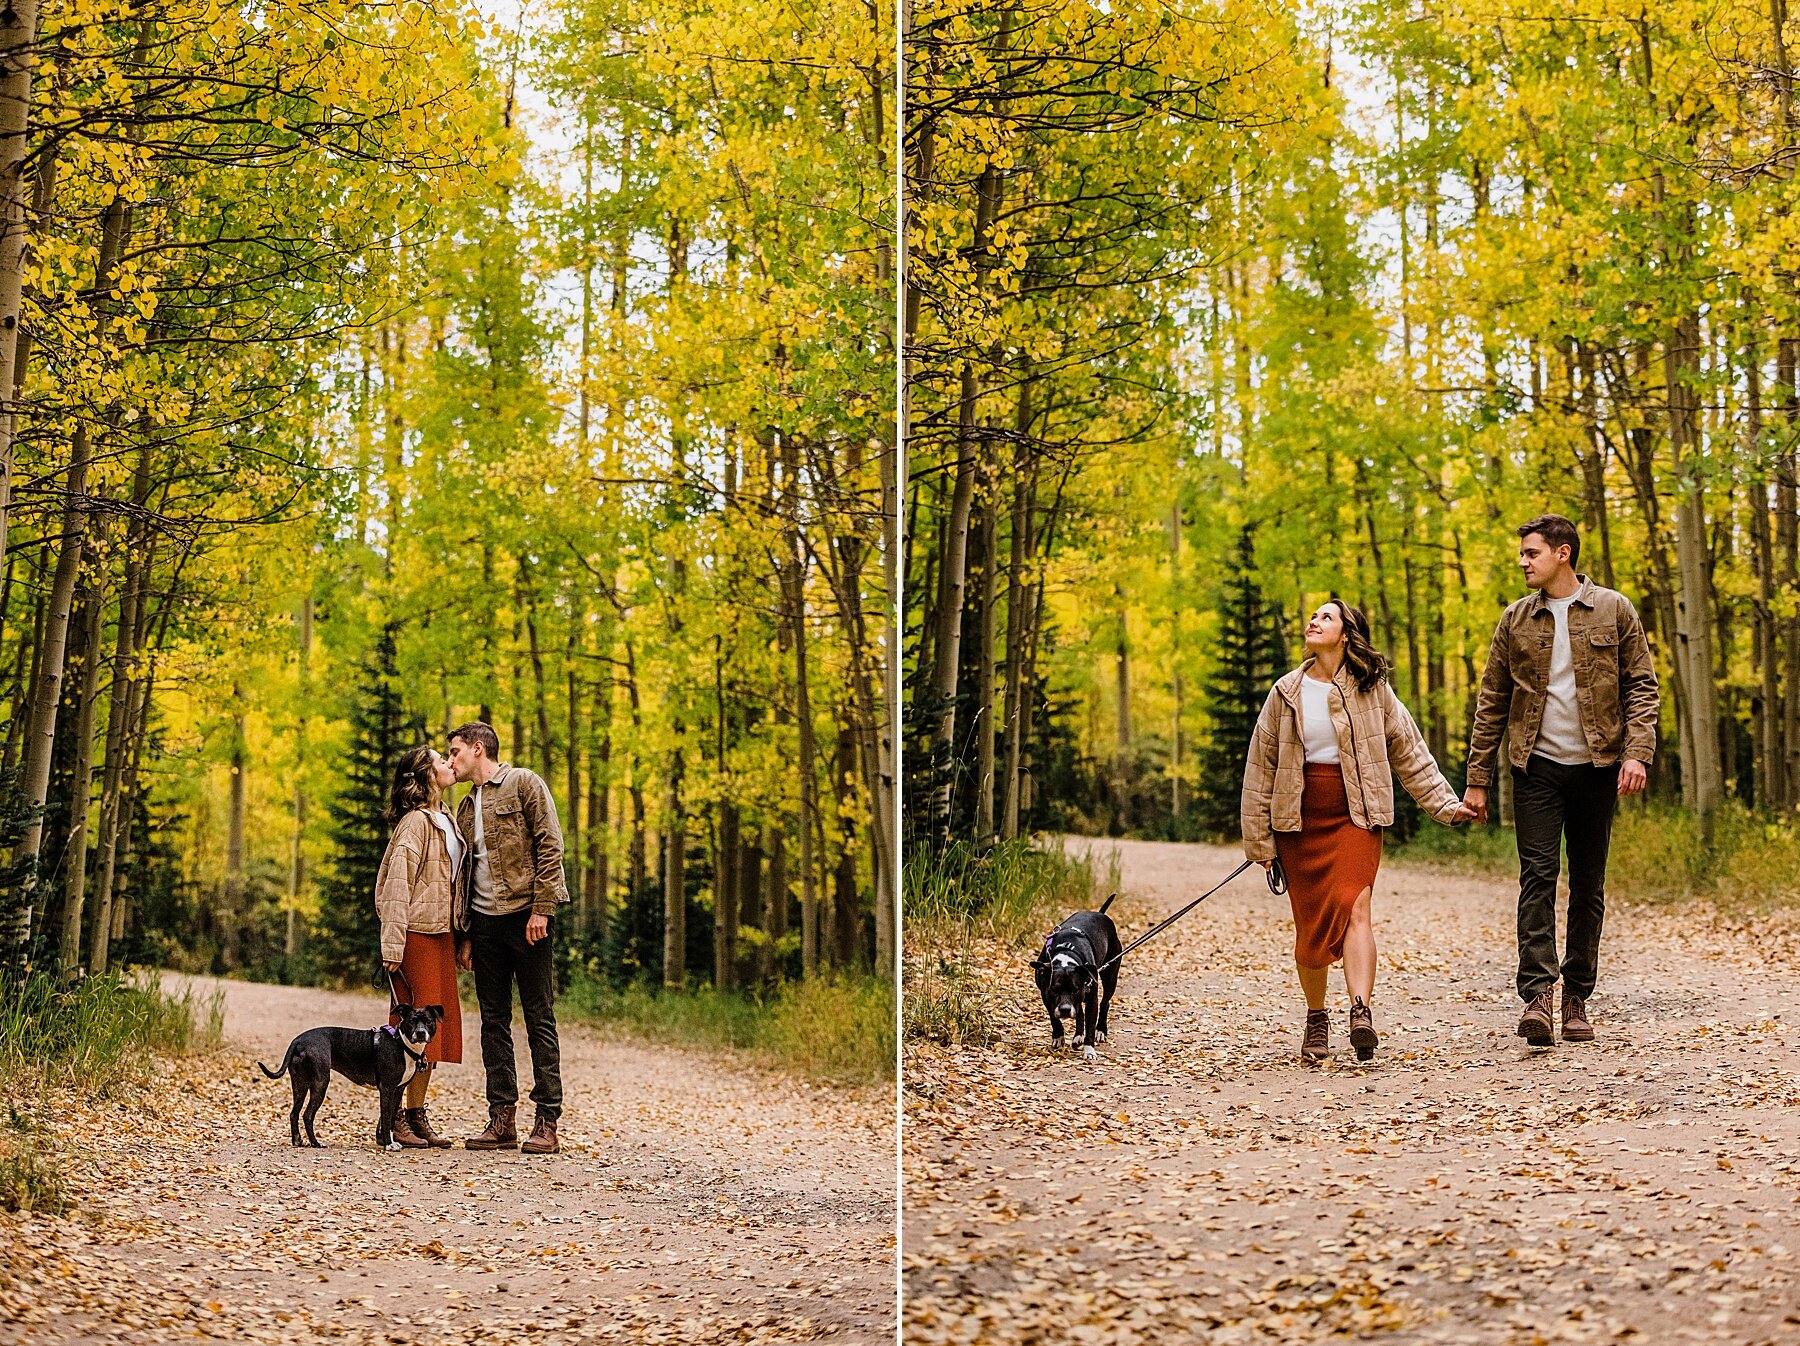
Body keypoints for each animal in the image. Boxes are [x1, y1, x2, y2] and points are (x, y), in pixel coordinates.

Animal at [257, 1000, 442, 1144]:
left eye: (428, 1021)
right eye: (411, 1021)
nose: (420, 1033)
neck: (402, 1044)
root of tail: (298, 1040)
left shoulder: (398, 1090)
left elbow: (389, 1118)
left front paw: (389, 1141)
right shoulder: (387, 1089)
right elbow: (385, 1116)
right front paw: (388, 1145)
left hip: (300, 1085)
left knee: (294, 1113)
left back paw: (297, 1141)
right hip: (320, 1083)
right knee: (307, 1115)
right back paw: (315, 1143)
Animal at [1036, 899, 1116, 1058]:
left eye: (1075, 989)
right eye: (1055, 989)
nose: (1065, 1010)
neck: (1066, 953)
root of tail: (1100, 913)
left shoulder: (1091, 999)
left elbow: (1090, 1025)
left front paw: (1089, 1050)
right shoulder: (1046, 995)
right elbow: (1054, 1017)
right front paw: (1058, 1036)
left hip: (1110, 977)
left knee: (1105, 1003)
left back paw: (1101, 1031)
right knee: (1080, 1011)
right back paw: (1078, 1036)